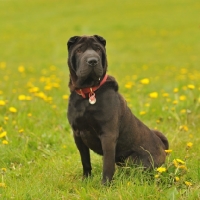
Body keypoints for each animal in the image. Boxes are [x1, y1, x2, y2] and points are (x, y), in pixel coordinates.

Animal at [66, 34, 168, 184]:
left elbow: (107, 164)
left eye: (97, 49)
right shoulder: (78, 134)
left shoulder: (108, 135)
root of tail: (163, 148)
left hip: (134, 160)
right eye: (79, 50)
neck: (88, 92)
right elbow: (85, 161)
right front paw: (86, 180)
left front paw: (105, 185)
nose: (92, 61)